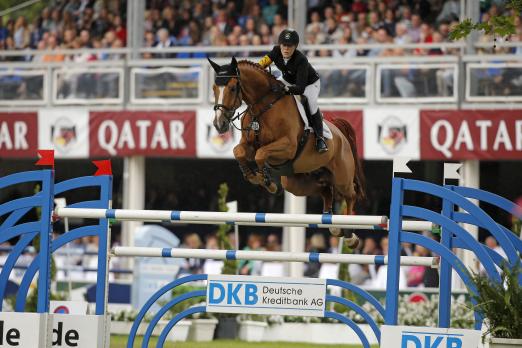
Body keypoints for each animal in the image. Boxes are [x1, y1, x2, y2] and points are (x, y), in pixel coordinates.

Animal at [208, 56, 366, 247]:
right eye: (214, 88)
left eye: (232, 88)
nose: (219, 124)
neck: (263, 107)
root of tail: (340, 133)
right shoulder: (248, 145)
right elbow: (238, 152)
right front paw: (254, 176)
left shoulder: (287, 147)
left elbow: (261, 154)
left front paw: (267, 182)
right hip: (298, 182)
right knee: (326, 190)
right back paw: (334, 226)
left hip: (342, 176)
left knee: (351, 195)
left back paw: (350, 236)